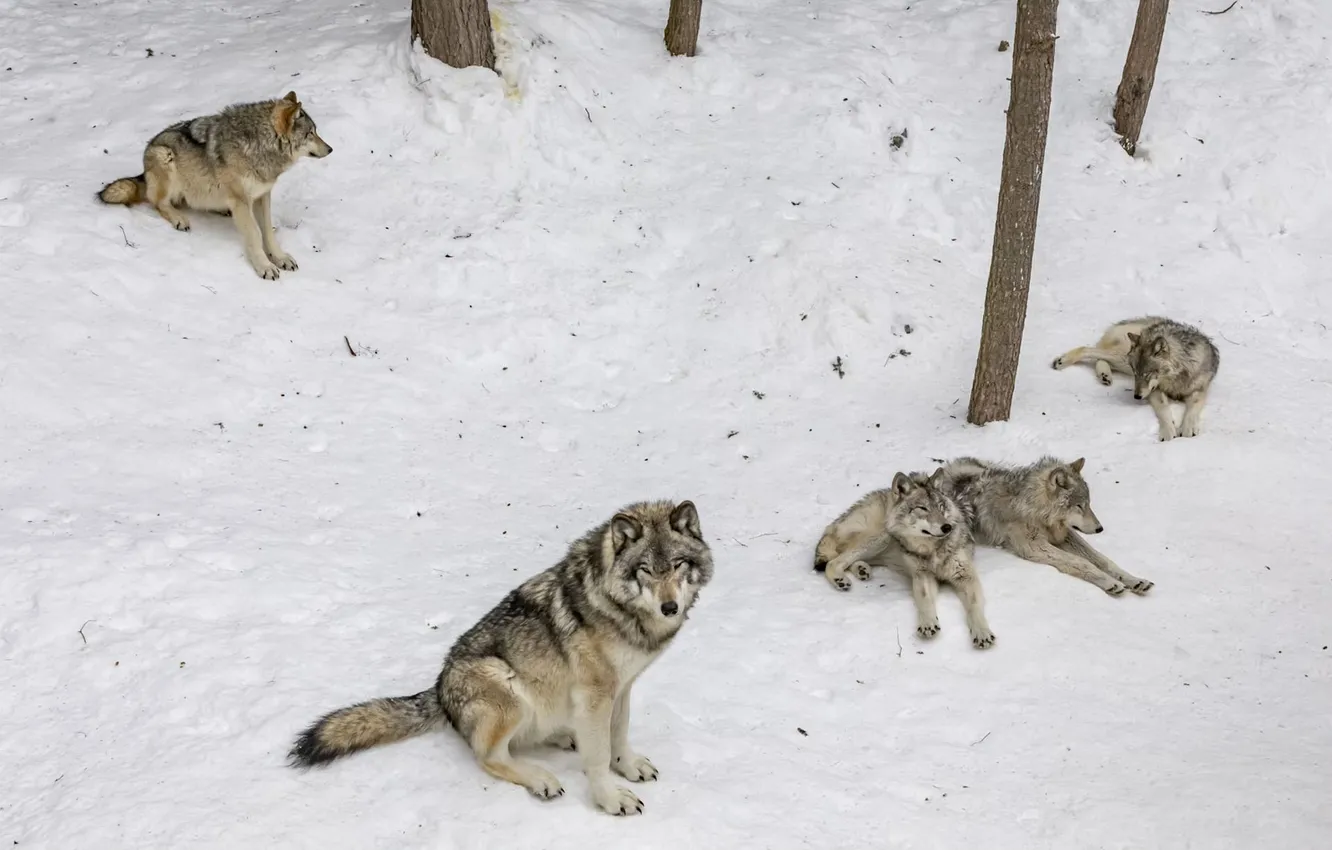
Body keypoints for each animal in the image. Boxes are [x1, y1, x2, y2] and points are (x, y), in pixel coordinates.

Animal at [98, 92, 332, 280]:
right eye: (311, 133)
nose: (330, 149)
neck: (259, 145)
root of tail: (144, 171)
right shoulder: (241, 200)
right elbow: (255, 234)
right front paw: (264, 267)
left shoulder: (262, 195)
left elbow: (267, 232)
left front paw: (280, 258)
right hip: (165, 156)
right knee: (159, 203)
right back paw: (179, 219)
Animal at [289, 500, 713, 817]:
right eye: (645, 570)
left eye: (678, 565)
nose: (670, 607)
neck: (621, 609)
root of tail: (438, 691)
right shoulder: (597, 695)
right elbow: (597, 755)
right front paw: (610, 799)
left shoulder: (621, 687)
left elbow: (618, 734)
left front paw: (627, 766)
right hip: (507, 687)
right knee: (488, 756)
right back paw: (542, 779)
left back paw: (564, 737)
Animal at [813, 470, 994, 648]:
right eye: (923, 508)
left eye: (941, 507)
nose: (947, 527)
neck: (932, 549)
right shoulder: (922, 575)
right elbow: (924, 601)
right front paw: (928, 623)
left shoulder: (966, 576)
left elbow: (974, 607)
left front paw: (982, 632)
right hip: (881, 536)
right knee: (834, 561)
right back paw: (840, 579)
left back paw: (861, 570)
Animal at [940, 456, 1151, 597]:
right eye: (1079, 506)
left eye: (1089, 504)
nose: (1100, 529)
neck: (1034, 509)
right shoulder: (1034, 547)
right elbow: (1081, 562)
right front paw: (1109, 582)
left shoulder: (1064, 535)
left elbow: (1102, 559)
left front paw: (1134, 580)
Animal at [1053, 316, 1219, 441]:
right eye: (1136, 373)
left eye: (1147, 374)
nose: (1137, 396)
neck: (1174, 378)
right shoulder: (1154, 391)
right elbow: (1163, 410)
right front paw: (1168, 431)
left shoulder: (1199, 389)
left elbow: (1193, 409)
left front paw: (1188, 428)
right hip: (1123, 359)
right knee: (1089, 349)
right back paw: (1062, 361)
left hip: (1121, 361)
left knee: (1099, 358)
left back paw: (1104, 376)